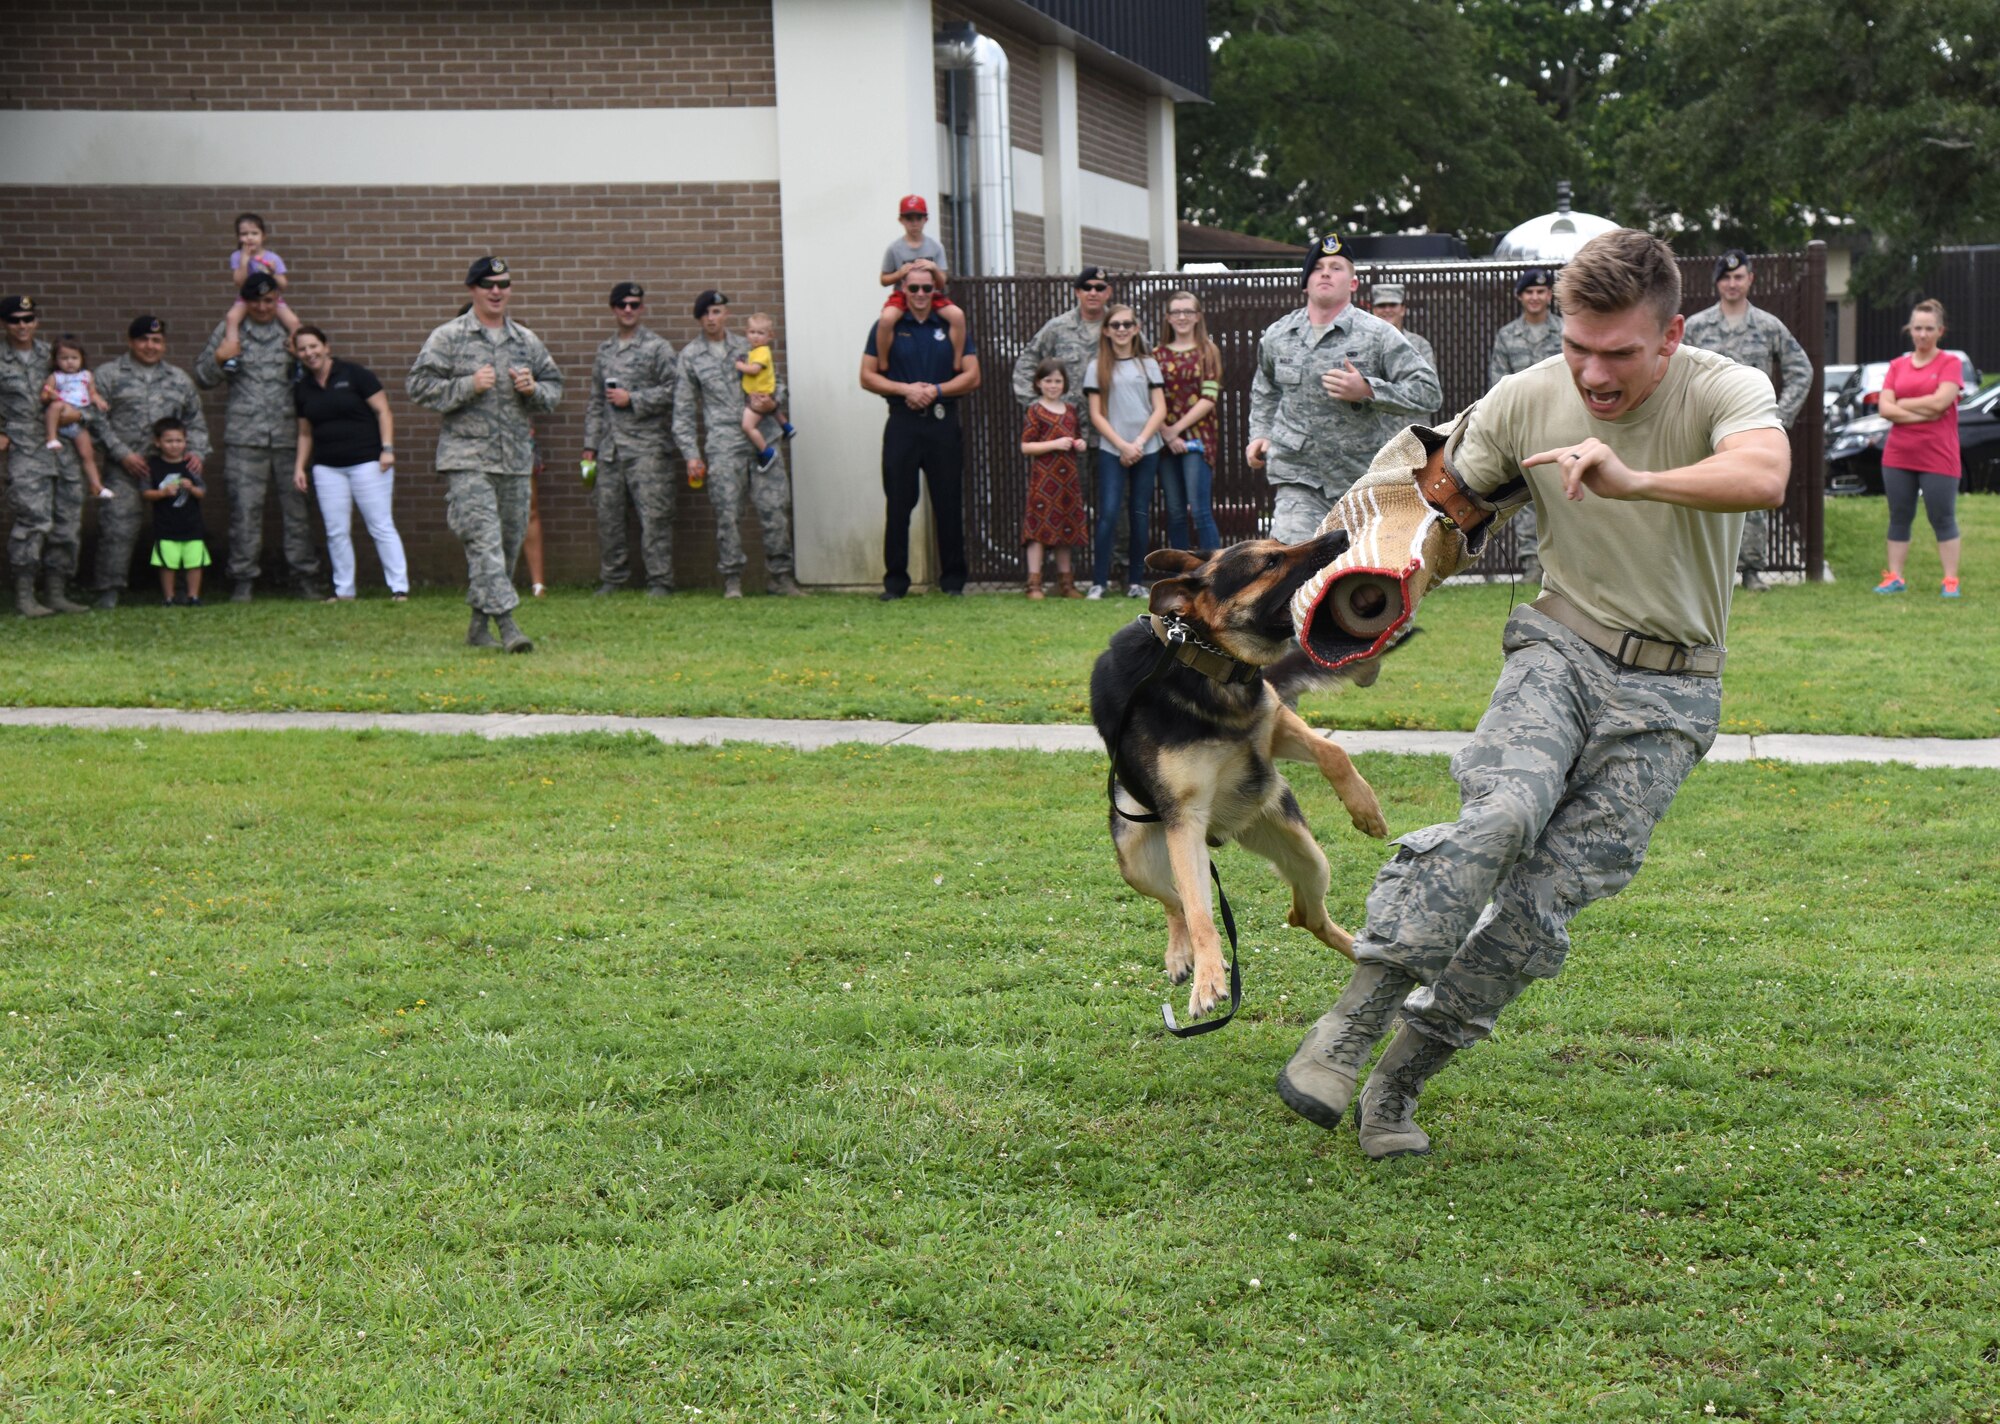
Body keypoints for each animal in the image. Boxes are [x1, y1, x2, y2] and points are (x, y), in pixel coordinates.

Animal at [1096, 528, 1392, 1032]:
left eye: (1280, 546)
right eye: (1269, 563)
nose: (1339, 535)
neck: (1206, 662)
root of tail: (1225, 834)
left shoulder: (1274, 727)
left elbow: (1332, 751)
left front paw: (1365, 808)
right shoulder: (1185, 821)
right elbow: (1199, 913)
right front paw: (1208, 980)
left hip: (1309, 857)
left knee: (1305, 915)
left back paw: (1363, 954)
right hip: (1137, 858)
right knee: (1176, 901)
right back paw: (1183, 956)